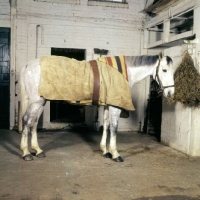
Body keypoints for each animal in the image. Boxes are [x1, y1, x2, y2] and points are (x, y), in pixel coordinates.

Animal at [19, 52, 175, 161]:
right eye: (164, 70)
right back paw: (26, 153)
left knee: (33, 122)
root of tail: (27, 65)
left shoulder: (108, 105)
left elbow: (106, 126)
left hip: (41, 101)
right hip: (36, 101)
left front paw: (105, 151)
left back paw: (38, 151)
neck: (123, 72)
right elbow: (114, 128)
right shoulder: (115, 107)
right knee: (27, 120)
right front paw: (115, 154)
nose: (170, 93)